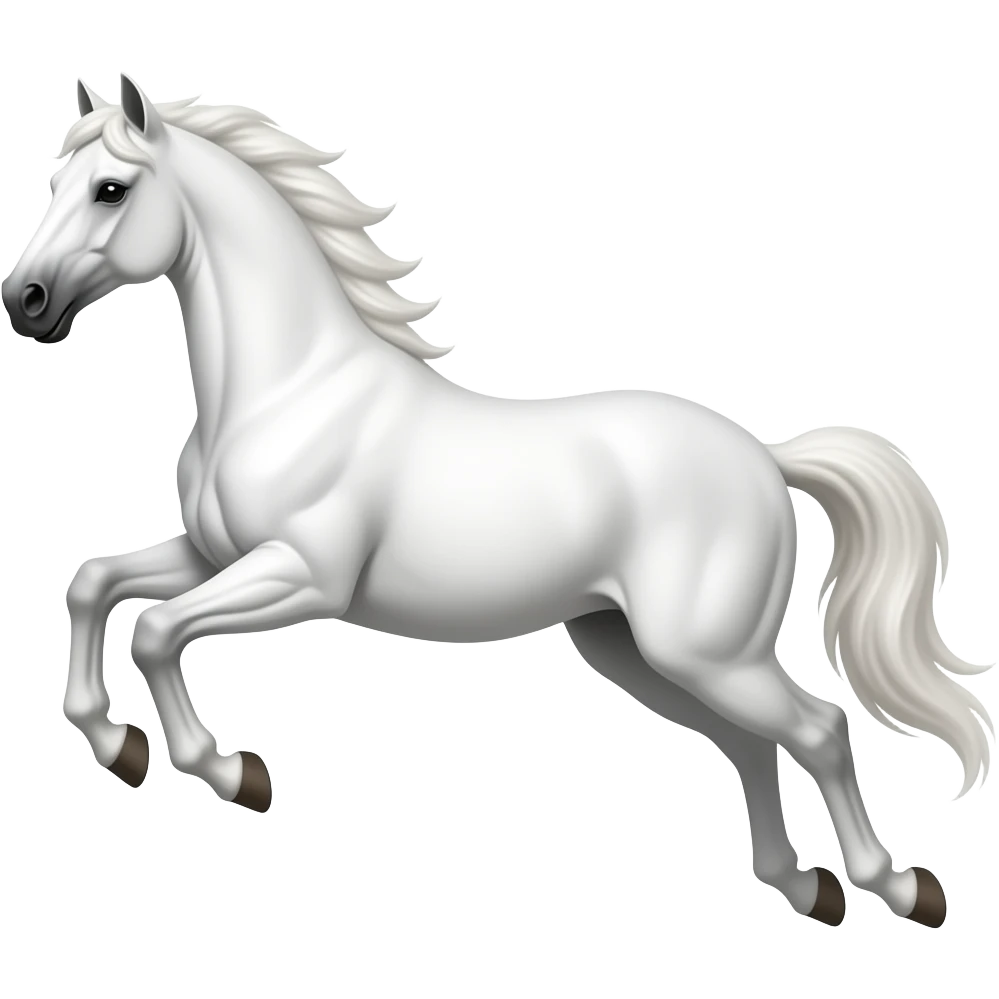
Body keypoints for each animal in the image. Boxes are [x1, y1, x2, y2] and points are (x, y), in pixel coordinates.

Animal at [3, 74, 992, 928]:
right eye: (52, 180)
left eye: (111, 188)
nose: (25, 301)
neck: (291, 388)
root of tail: (763, 456)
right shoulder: (209, 554)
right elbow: (95, 582)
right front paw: (117, 744)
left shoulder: (301, 576)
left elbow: (156, 630)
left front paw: (227, 770)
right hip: (638, 649)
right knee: (751, 742)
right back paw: (803, 886)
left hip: (705, 650)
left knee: (818, 728)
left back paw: (901, 887)